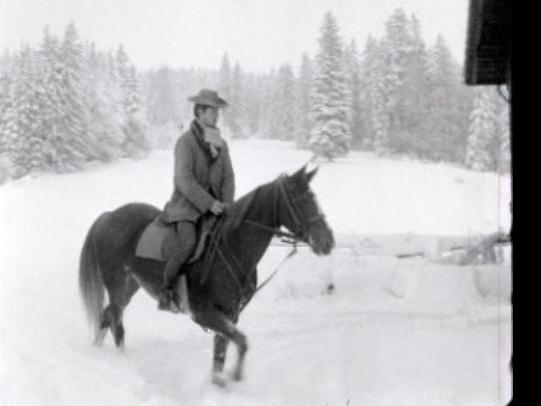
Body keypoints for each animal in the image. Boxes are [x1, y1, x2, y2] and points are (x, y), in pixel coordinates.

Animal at [79, 167, 334, 386]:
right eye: (300, 200)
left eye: (314, 198)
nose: (328, 242)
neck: (232, 246)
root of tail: (109, 216)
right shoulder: (205, 313)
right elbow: (241, 342)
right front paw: (231, 379)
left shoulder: (230, 313)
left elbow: (221, 350)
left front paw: (219, 380)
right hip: (116, 284)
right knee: (116, 324)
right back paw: (122, 362)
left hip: (130, 285)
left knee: (107, 316)